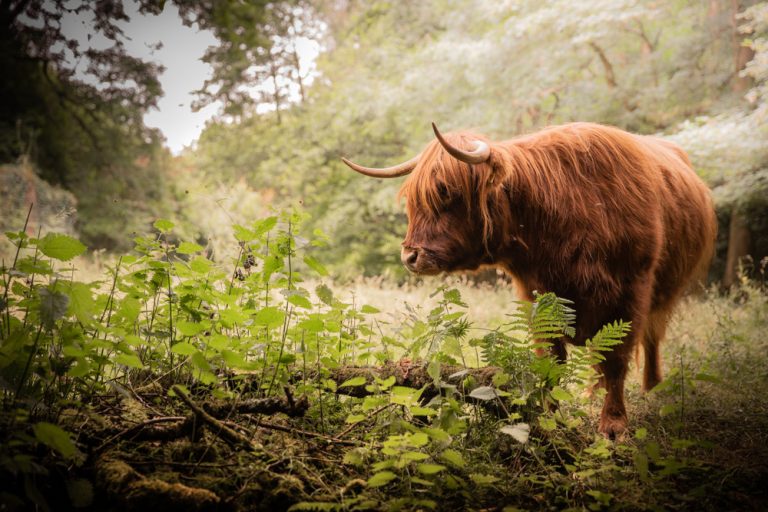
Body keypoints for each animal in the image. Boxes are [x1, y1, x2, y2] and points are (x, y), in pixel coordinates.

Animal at [342, 123, 712, 436]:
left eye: (445, 192)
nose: (410, 256)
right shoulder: (540, 295)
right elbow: (553, 360)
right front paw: (550, 416)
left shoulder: (630, 291)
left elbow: (617, 358)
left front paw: (613, 426)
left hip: (666, 292)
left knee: (651, 340)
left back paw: (653, 389)